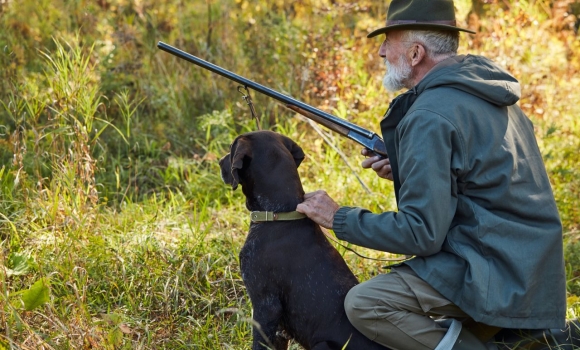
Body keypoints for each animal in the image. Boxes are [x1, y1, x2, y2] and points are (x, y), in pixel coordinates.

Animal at [220, 131, 388, 350]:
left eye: (231, 148)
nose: (219, 161)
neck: (281, 213)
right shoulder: (279, 329)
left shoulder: (266, 306)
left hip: (321, 344)